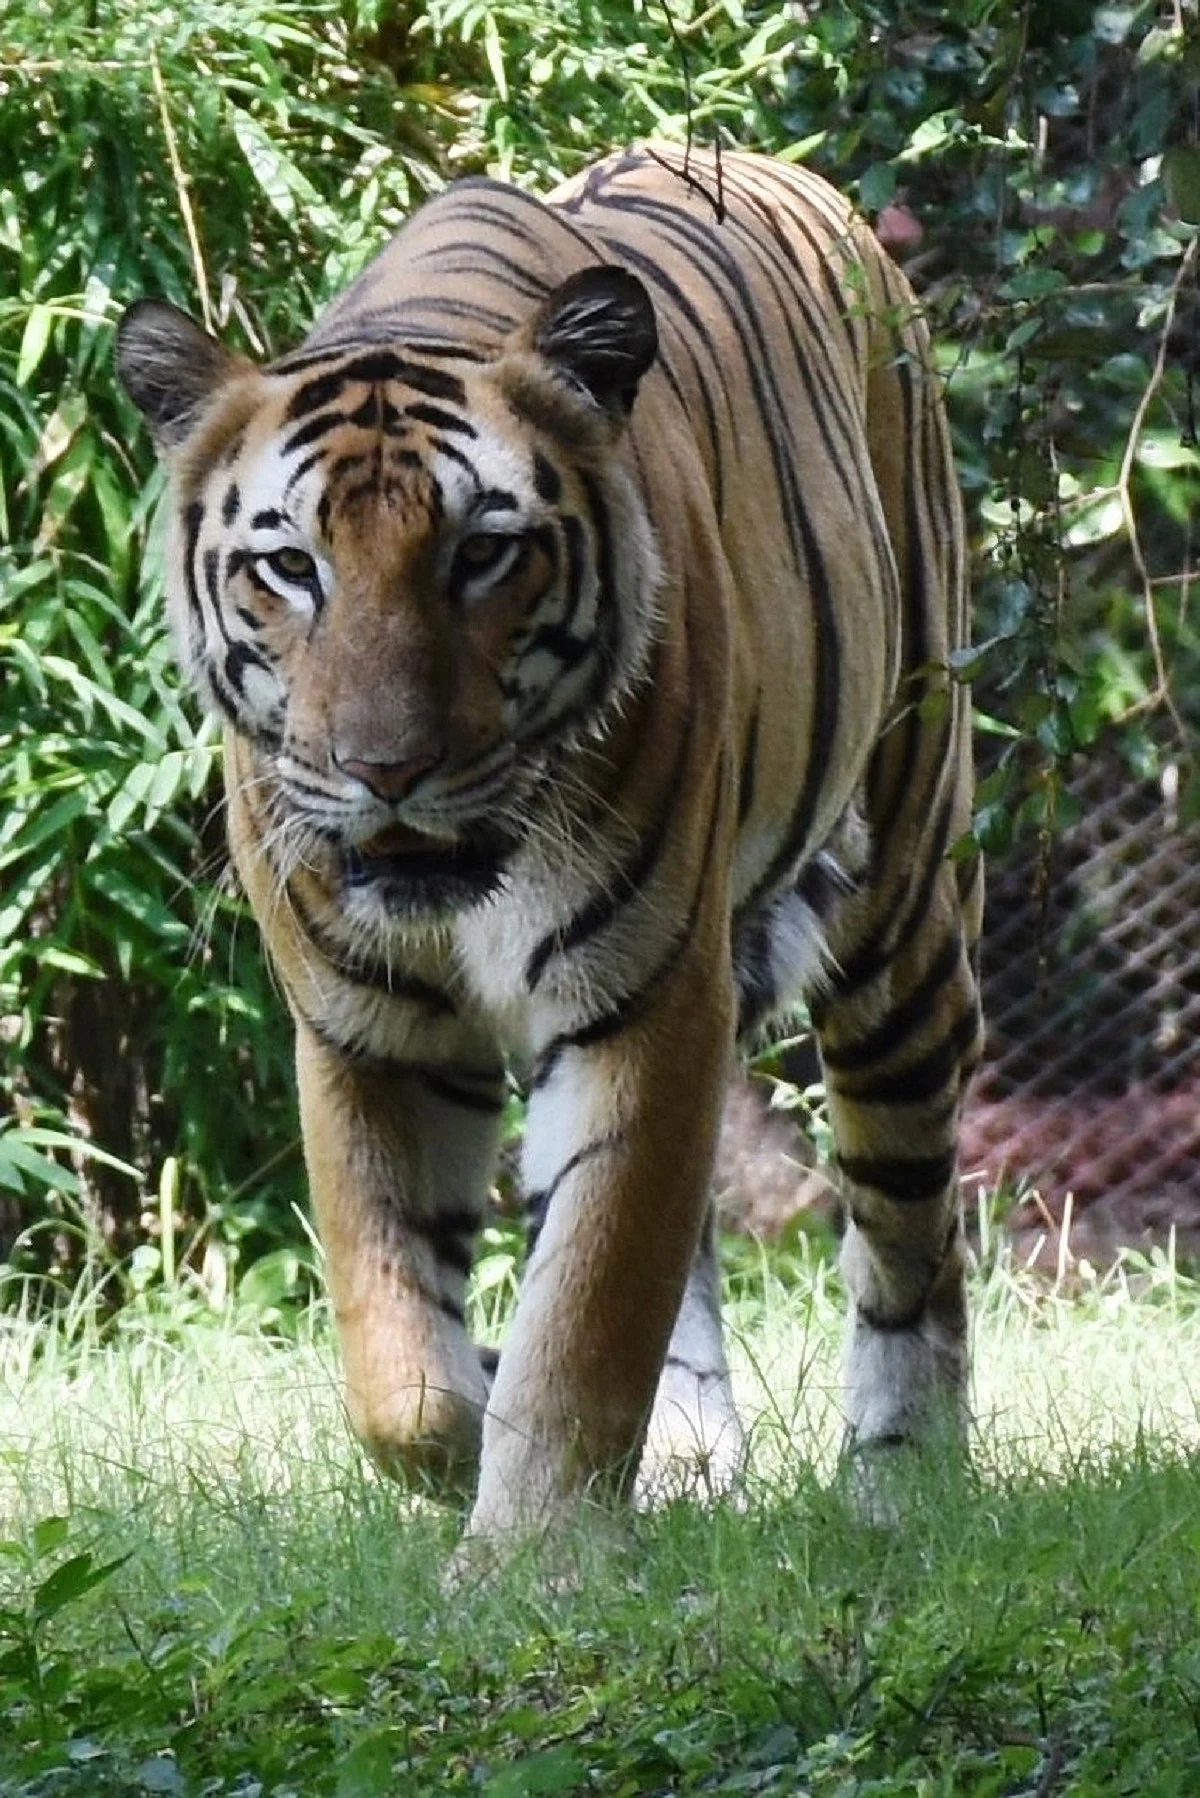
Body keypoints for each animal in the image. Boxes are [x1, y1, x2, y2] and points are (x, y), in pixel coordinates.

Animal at [116, 143, 983, 1541]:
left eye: (484, 554)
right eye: (291, 568)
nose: (385, 770)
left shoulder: (647, 996)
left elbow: (586, 1312)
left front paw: (532, 1553)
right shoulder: (365, 1030)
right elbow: (401, 1368)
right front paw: (480, 1435)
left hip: (900, 903)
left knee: (908, 1230)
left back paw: (905, 1484)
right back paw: (685, 1465)